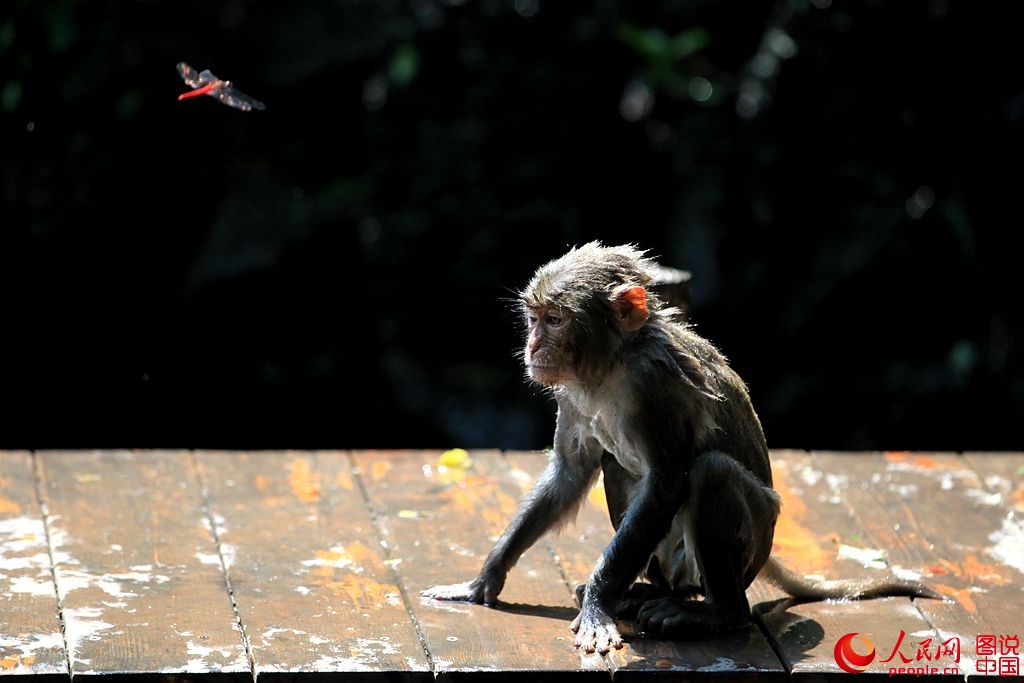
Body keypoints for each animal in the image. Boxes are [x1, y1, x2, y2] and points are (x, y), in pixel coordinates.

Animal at [421, 241, 937, 655]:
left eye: (555, 319)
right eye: (533, 318)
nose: (532, 348)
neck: (612, 366)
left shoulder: (654, 386)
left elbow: (667, 481)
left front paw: (598, 607)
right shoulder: (571, 393)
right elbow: (570, 471)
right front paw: (485, 578)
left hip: (747, 542)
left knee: (712, 473)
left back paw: (715, 610)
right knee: (618, 468)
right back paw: (647, 593)